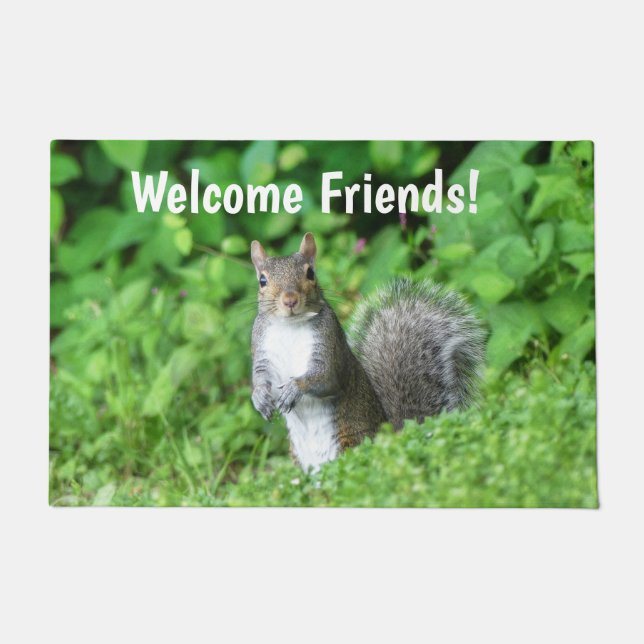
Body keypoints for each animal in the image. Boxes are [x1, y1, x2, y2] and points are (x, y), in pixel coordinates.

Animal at [250, 232, 485, 473]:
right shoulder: (261, 350)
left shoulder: (330, 346)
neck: (290, 326)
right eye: (262, 280)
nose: (290, 300)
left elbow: (326, 378)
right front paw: (259, 398)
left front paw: (293, 388)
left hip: (351, 443)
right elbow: (260, 378)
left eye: (310, 273)